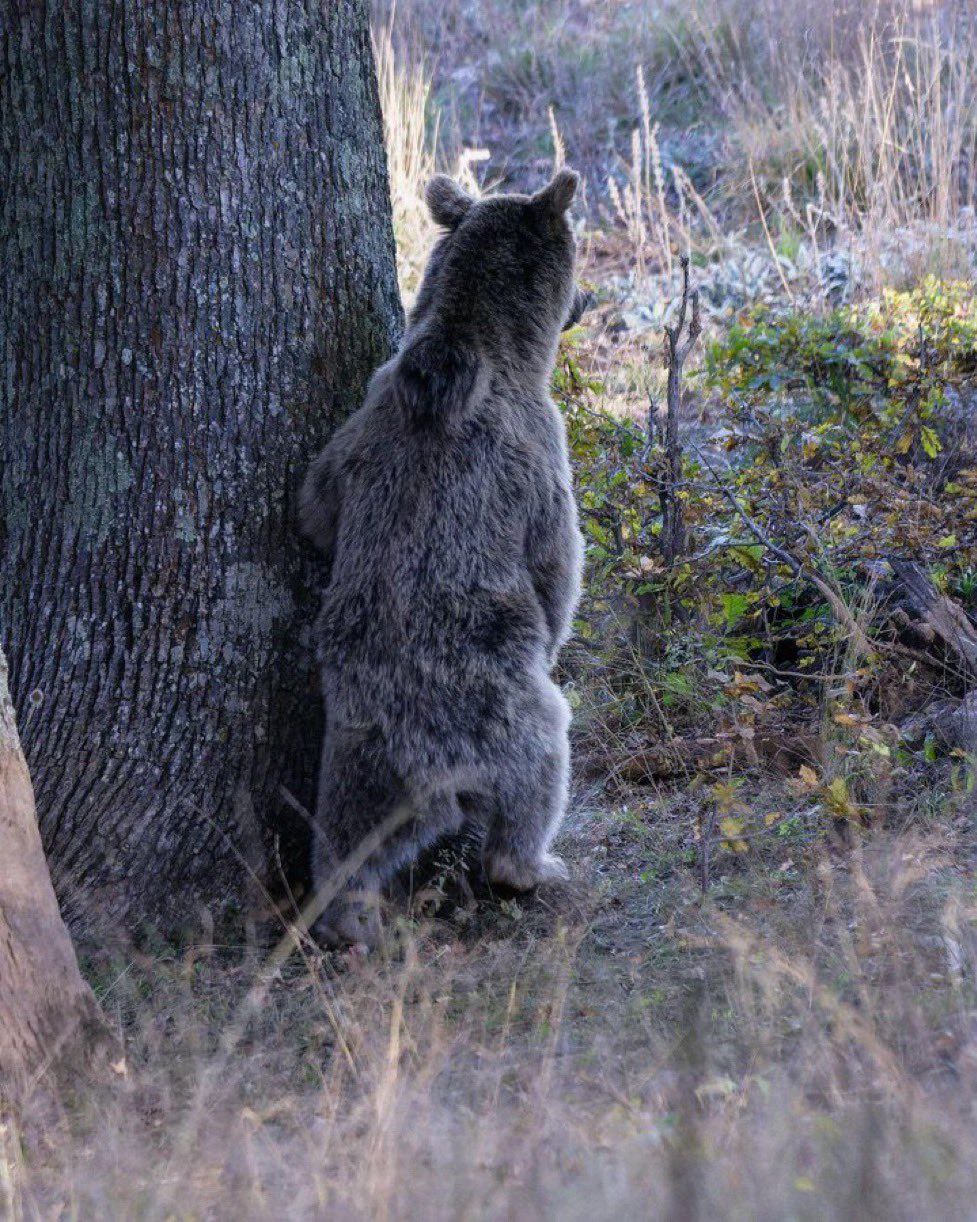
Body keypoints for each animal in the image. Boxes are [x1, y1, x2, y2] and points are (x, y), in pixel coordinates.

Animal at [301, 167, 583, 948]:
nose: (584, 303)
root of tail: (424, 763)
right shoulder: (539, 452)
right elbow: (556, 563)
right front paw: (561, 618)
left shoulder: (360, 428)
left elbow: (315, 505)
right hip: (504, 713)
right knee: (541, 765)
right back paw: (531, 865)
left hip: (356, 753)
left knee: (343, 842)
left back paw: (344, 916)